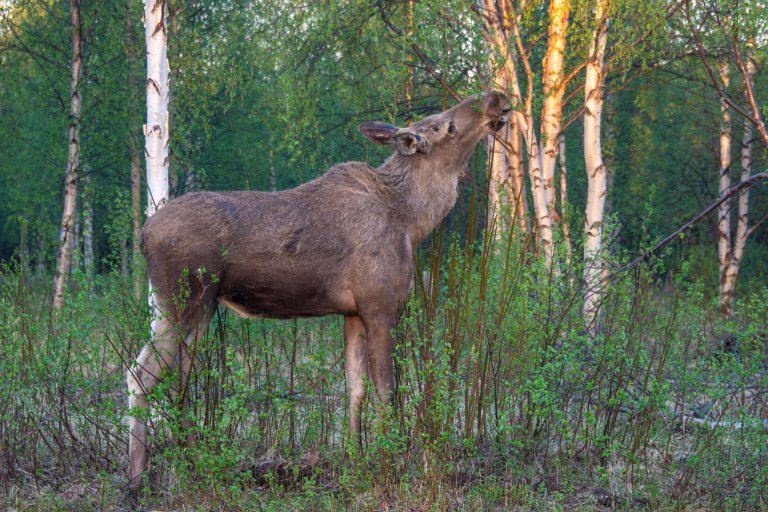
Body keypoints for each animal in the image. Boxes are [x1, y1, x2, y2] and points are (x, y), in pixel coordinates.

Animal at [127, 92, 510, 488]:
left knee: (176, 379)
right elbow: (387, 392)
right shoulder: (380, 305)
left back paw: (190, 462)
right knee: (141, 374)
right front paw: (390, 463)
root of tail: (143, 235)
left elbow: (355, 387)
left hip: (200, 309)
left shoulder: (353, 312)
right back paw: (138, 472)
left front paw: (355, 457)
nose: (495, 98)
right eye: (446, 126)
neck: (413, 221)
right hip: (181, 301)